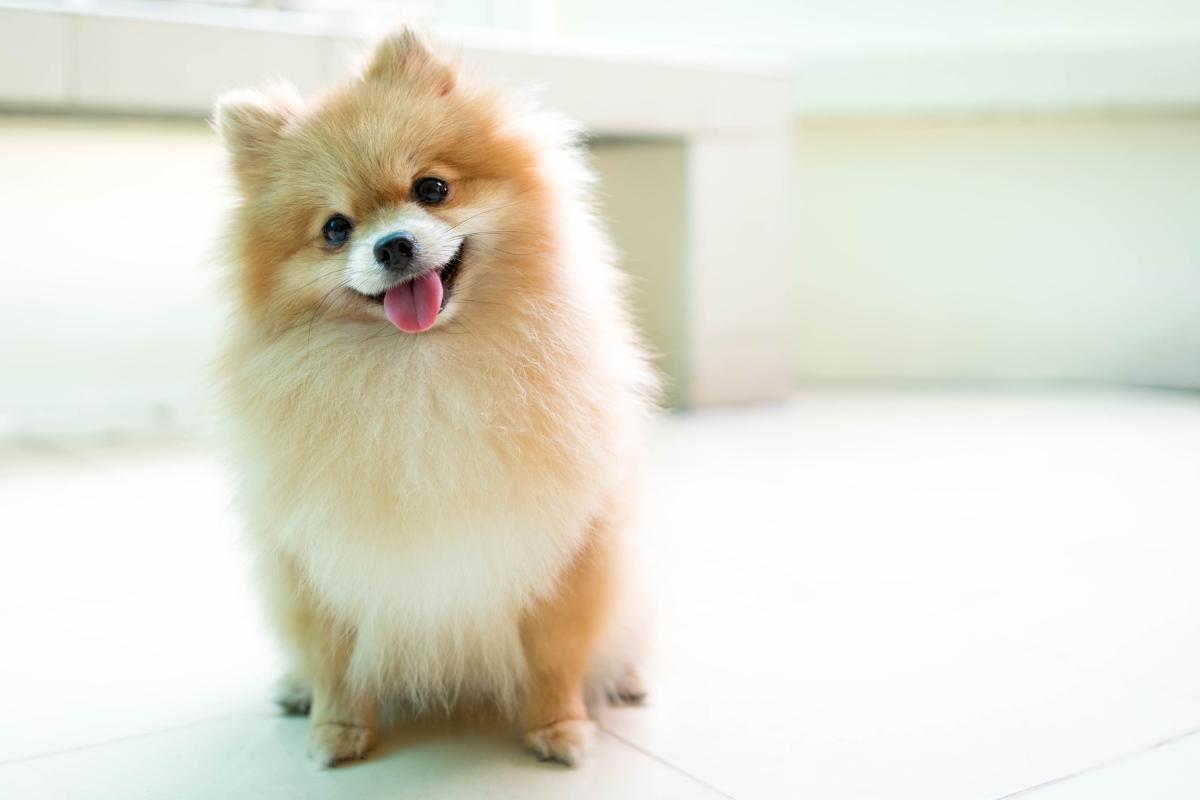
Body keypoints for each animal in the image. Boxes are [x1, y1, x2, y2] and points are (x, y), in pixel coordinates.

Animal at [213, 28, 655, 767]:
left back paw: (622, 678)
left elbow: (555, 651)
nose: (394, 245)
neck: (423, 372)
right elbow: (333, 656)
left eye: (432, 188)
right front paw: (337, 729)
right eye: (335, 229)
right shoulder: (316, 557)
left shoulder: (565, 544)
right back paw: (296, 692)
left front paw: (558, 726)